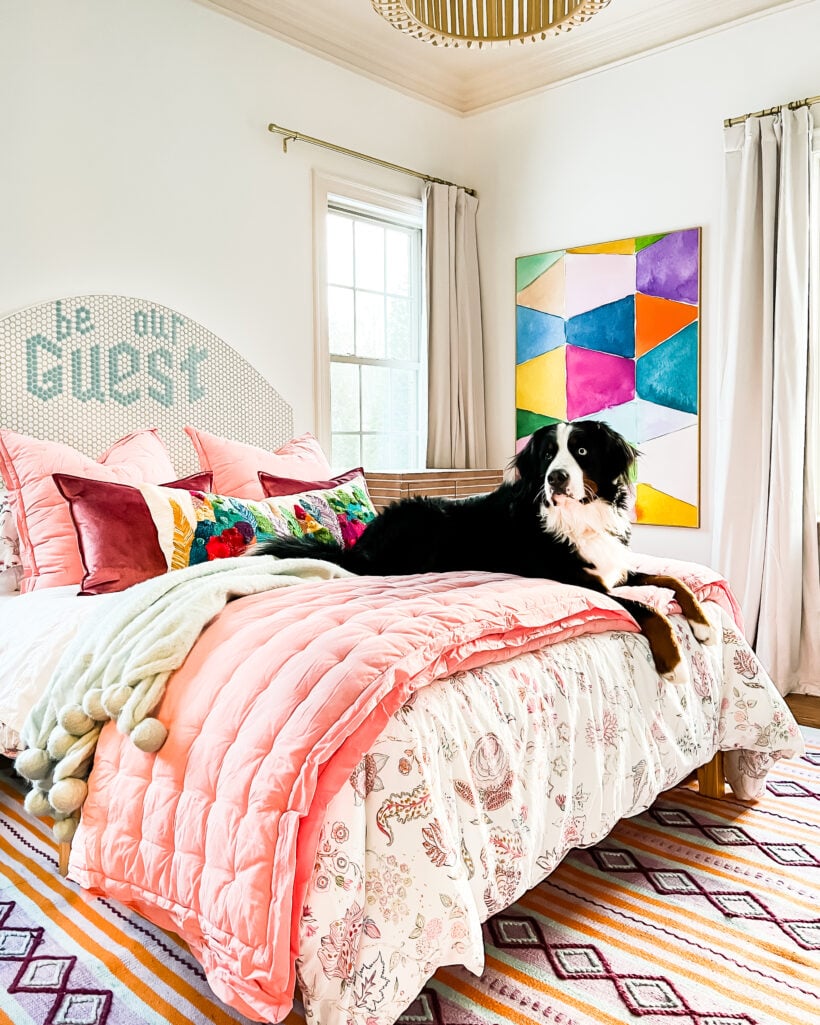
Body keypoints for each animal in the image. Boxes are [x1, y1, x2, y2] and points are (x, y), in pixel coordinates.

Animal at [253, 420, 713, 684]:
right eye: (549, 454)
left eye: (582, 451)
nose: (556, 477)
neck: (578, 517)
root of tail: (361, 545)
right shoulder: (581, 581)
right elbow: (648, 608)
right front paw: (673, 661)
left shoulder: (611, 568)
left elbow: (674, 580)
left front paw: (703, 623)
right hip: (421, 520)